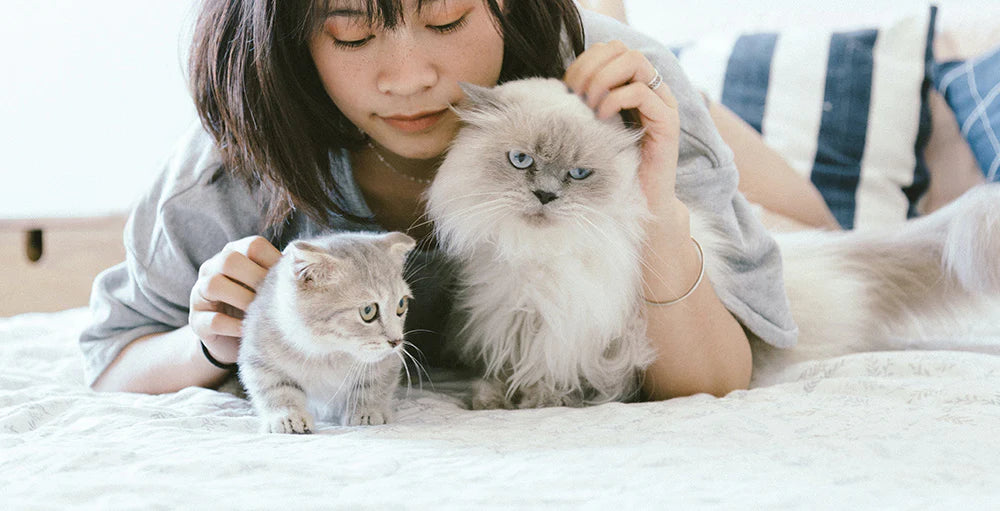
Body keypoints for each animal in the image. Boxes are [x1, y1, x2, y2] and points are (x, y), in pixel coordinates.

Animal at [237, 232, 414, 436]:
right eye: (368, 311)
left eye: (401, 305)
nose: (396, 341)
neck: (330, 351)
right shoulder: (259, 352)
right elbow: (276, 388)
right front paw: (288, 416)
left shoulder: (388, 361)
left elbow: (374, 385)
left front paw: (368, 411)